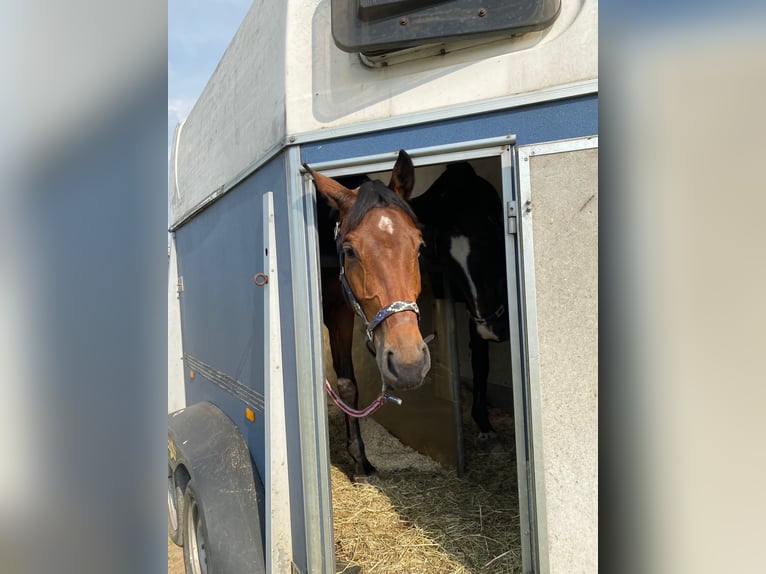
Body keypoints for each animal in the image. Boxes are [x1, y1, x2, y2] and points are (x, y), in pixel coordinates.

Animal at [304, 150, 428, 482]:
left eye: (419, 245)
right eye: (349, 251)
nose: (409, 364)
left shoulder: (341, 312)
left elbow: (348, 384)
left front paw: (360, 461)